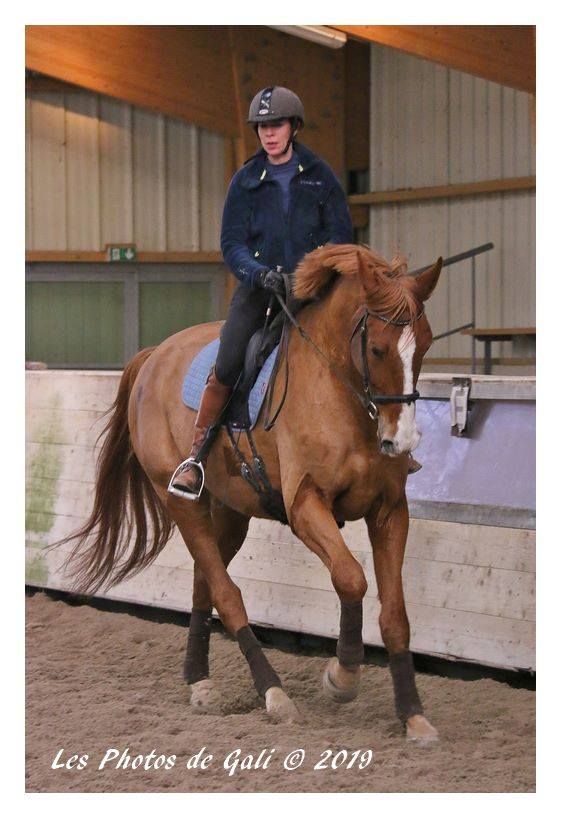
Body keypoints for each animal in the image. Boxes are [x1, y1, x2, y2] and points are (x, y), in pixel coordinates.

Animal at [62, 243, 443, 742]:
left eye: (427, 343)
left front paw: (414, 715)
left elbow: (396, 614)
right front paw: (342, 677)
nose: (401, 442)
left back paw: (200, 681)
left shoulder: (390, 510)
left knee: (204, 584)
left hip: (230, 513)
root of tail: (155, 354)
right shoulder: (305, 506)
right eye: (377, 348)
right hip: (180, 503)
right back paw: (273, 693)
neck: (342, 394)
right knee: (226, 594)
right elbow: (351, 578)